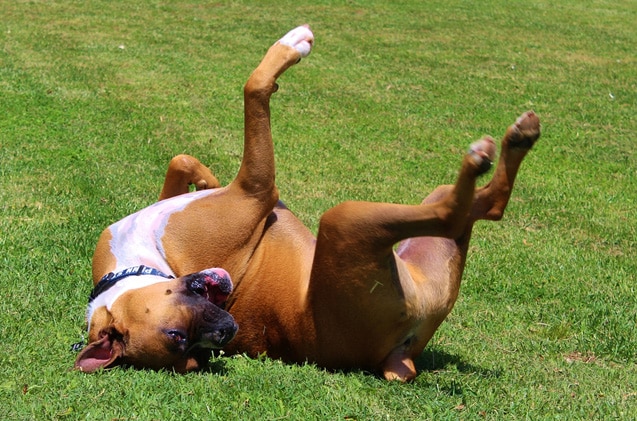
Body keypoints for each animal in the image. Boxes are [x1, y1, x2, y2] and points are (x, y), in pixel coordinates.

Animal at [76, 26, 540, 380]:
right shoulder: (256, 187)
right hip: (348, 221)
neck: (132, 265)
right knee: (467, 211)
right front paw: (291, 47)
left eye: (190, 350)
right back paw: (497, 149)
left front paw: (203, 176)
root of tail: (398, 356)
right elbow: (254, 87)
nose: (226, 333)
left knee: (474, 208)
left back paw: (514, 141)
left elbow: (180, 159)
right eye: (179, 341)